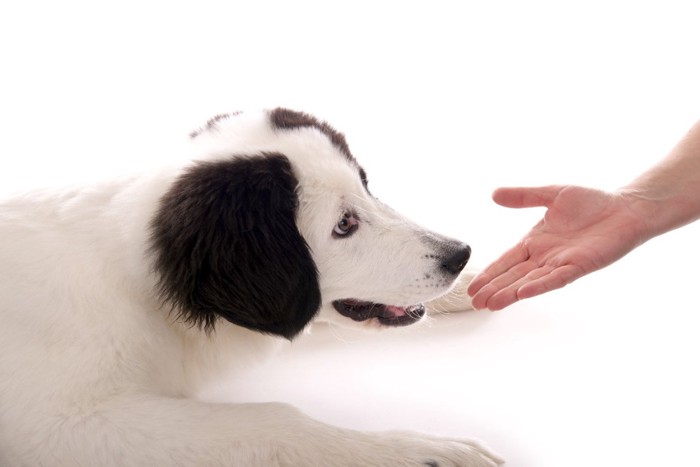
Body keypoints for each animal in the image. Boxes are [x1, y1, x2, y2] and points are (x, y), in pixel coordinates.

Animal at [0, 108, 504, 466]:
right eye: (344, 224)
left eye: (366, 187)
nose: (459, 255)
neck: (143, 288)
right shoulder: (62, 425)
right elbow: (277, 419)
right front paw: (418, 452)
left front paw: (476, 282)